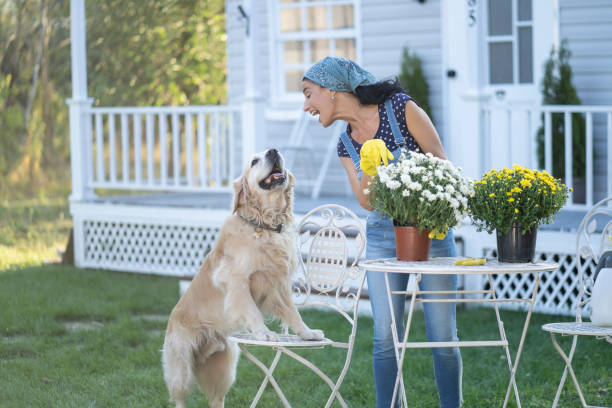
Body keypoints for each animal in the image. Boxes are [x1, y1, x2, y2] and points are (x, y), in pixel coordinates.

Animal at [163, 148, 326, 406]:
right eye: (254, 161)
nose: (273, 151)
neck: (265, 225)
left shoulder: (278, 285)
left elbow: (294, 314)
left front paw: (308, 334)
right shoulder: (236, 282)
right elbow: (252, 311)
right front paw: (265, 334)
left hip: (224, 367)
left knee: (216, 398)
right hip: (181, 366)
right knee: (180, 397)